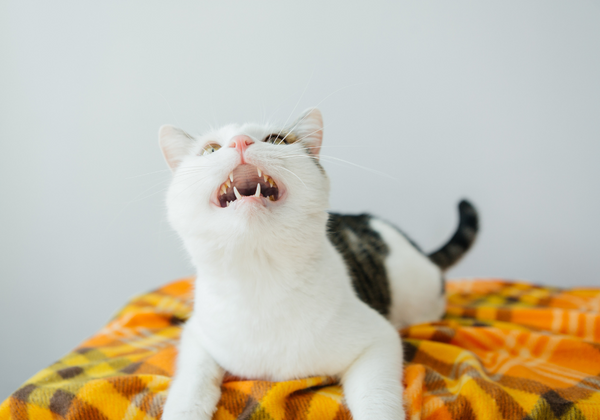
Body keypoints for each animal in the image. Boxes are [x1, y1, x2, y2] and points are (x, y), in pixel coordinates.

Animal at [158, 109, 478, 420]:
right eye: (210, 149)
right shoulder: (197, 336)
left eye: (276, 139)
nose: (240, 141)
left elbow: (376, 398)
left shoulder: (379, 340)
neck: (261, 279)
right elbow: (190, 384)